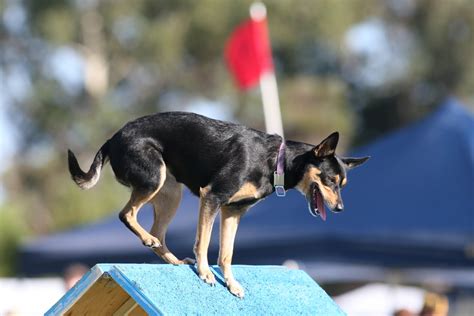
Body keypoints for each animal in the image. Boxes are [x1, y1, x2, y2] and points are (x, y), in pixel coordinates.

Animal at [67, 111, 370, 298]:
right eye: (330, 180)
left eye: (342, 185)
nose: (340, 209)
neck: (276, 161)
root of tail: (112, 138)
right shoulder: (212, 197)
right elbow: (203, 243)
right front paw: (205, 273)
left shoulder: (233, 212)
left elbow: (226, 253)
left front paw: (231, 283)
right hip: (154, 179)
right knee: (127, 214)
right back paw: (150, 241)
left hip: (170, 193)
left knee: (158, 233)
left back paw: (174, 260)